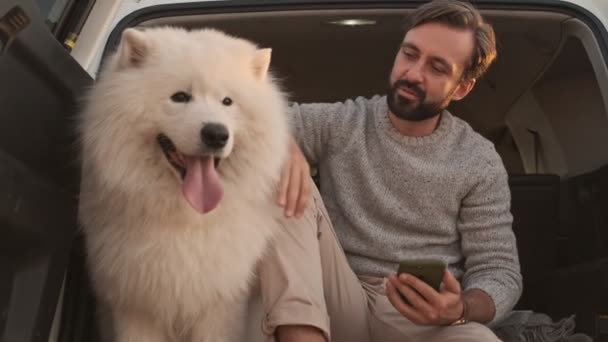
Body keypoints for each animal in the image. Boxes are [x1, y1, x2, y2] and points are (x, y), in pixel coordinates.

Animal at [78, 27, 290, 342]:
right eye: (180, 97)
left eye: (228, 102)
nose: (216, 134)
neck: (188, 222)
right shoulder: (135, 305)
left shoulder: (219, 305)